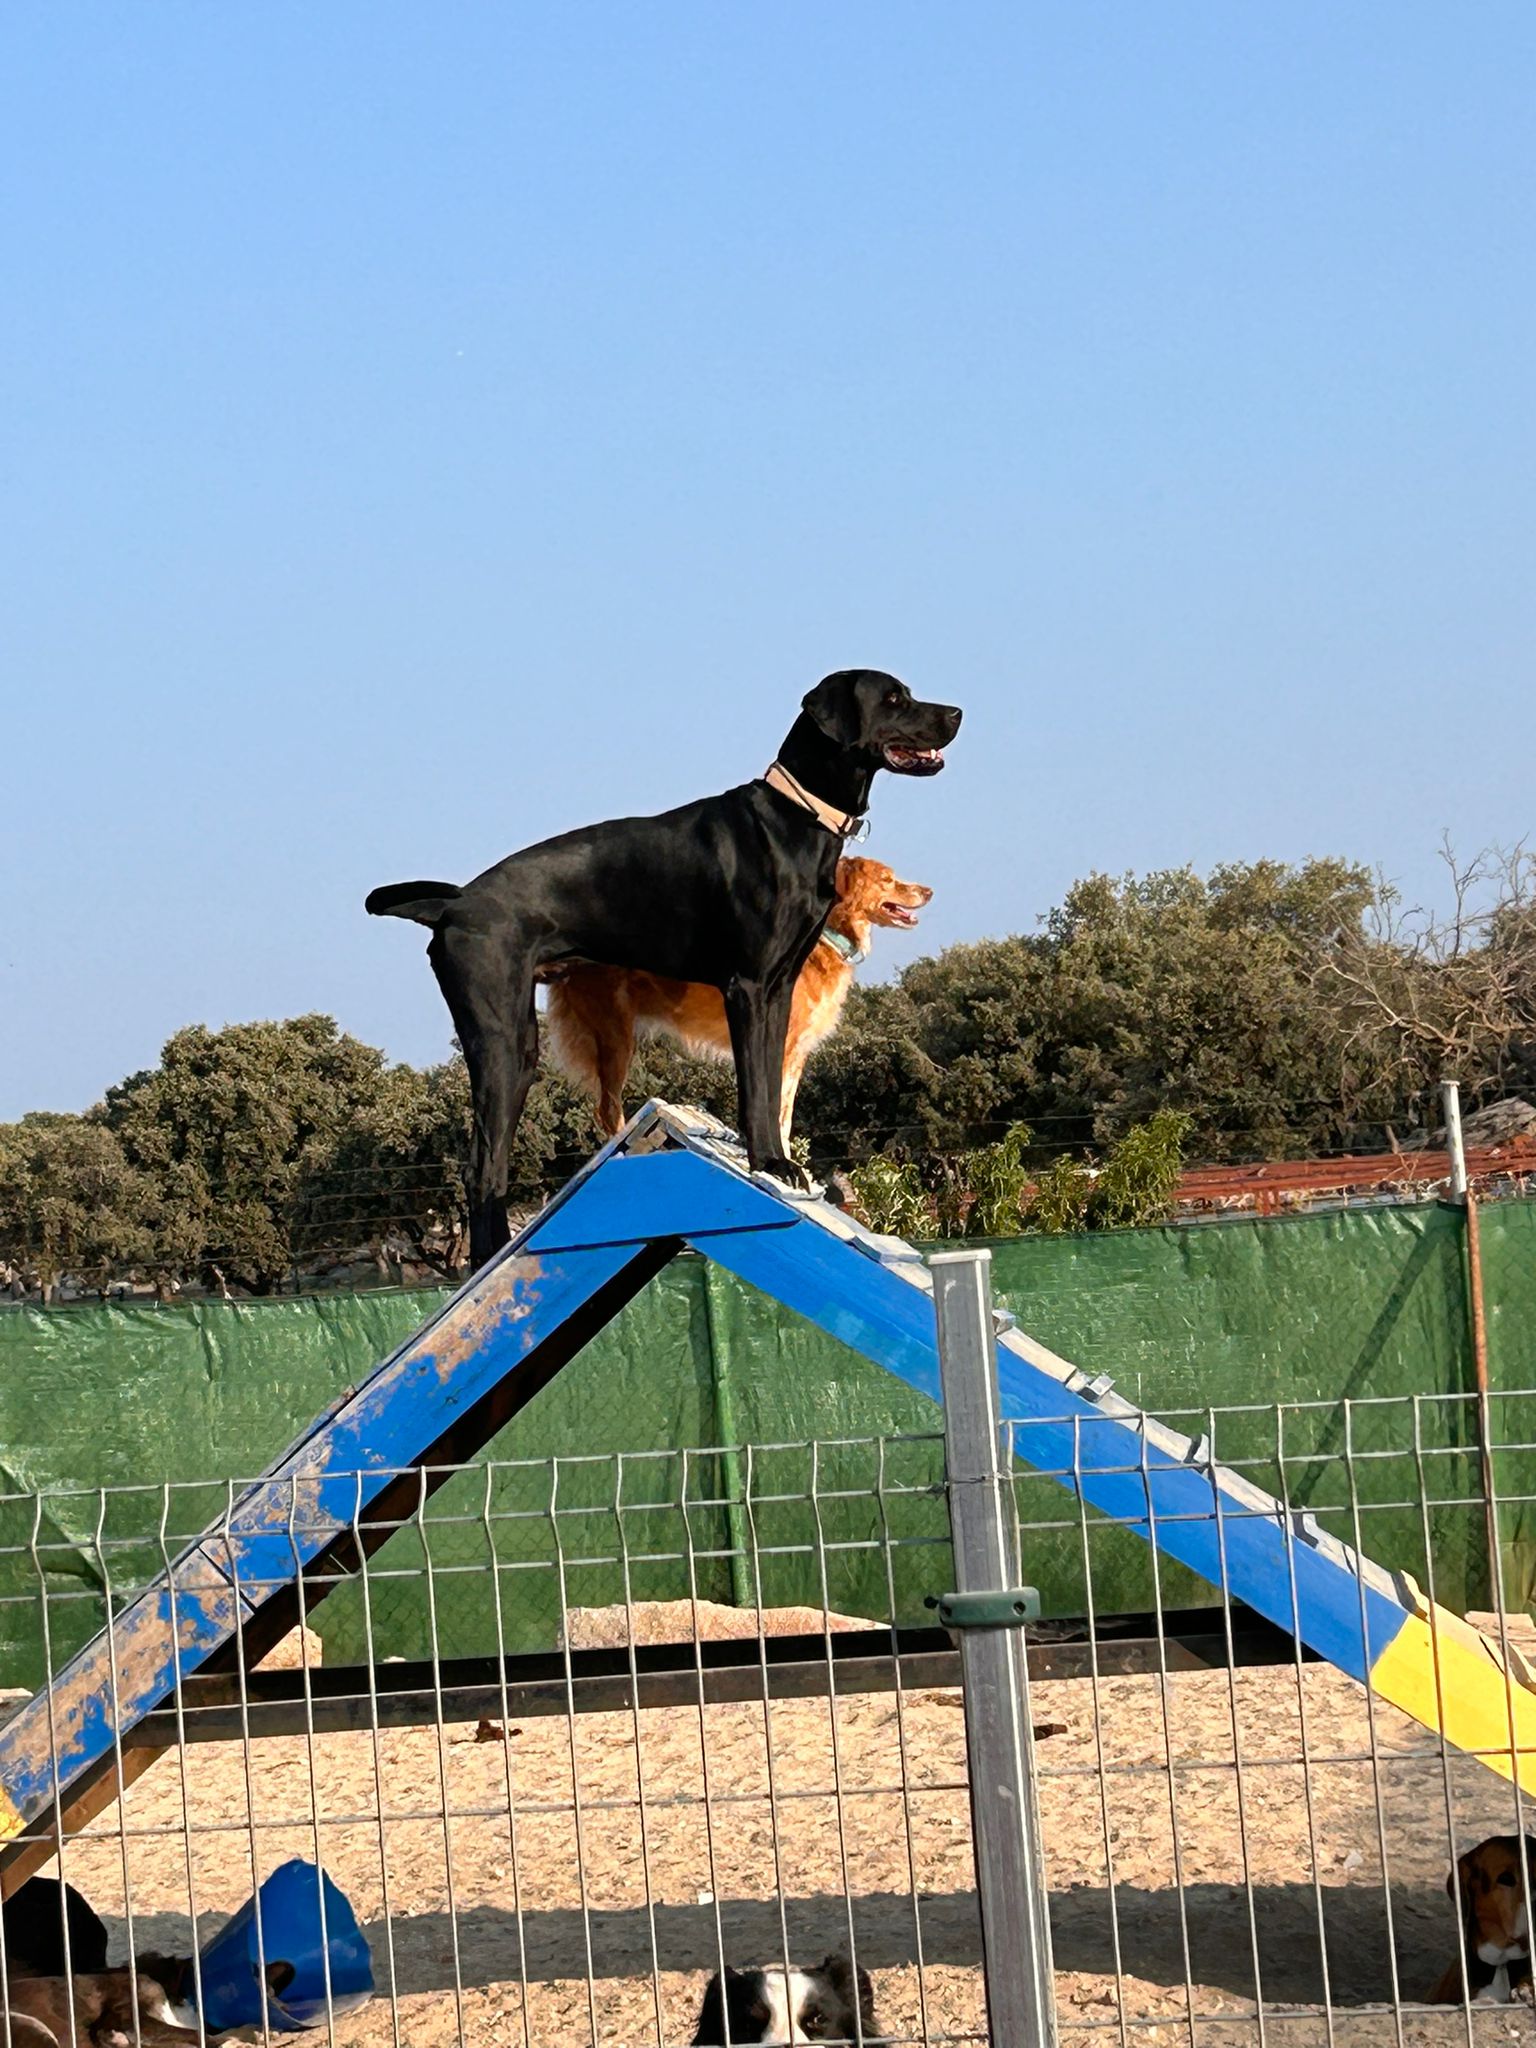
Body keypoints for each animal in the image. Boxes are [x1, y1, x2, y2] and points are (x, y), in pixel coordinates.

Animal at [548, 856, 933, 1155]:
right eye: (888, 879)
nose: (929, 891)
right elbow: (776, 1111)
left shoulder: (796, 1054)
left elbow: (785, 1116)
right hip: (615, 1037)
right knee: (608, 1110)